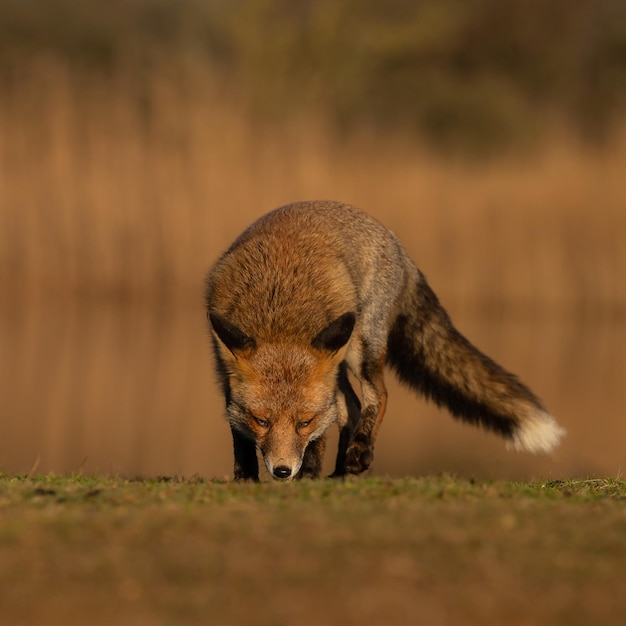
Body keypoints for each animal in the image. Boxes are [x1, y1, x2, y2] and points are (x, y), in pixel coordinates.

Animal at [204, 197, 560, 480]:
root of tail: (397, 244)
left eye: (304, 422)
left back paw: (358, 455)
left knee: (377, 397)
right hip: (340, 360)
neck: (280, 317)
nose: (282, 471)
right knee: (351, 406)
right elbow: (237, 431)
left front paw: (309, 471)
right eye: (261, 421)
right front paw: (245, 476)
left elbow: (326, 426)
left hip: (360, 348)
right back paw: (338, 471)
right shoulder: (224, 371)